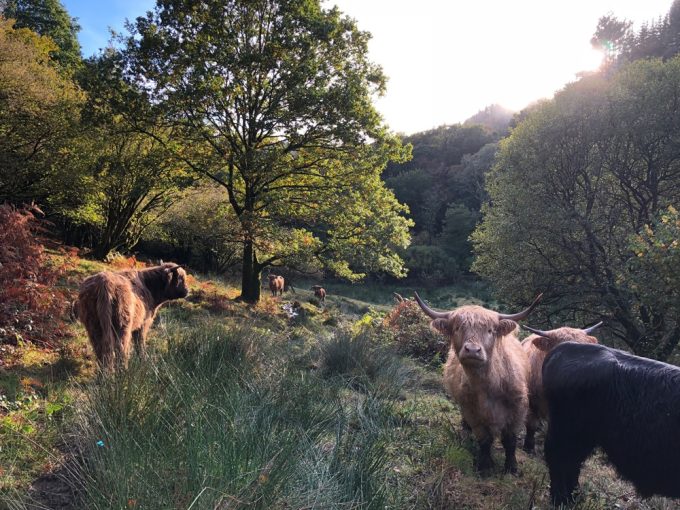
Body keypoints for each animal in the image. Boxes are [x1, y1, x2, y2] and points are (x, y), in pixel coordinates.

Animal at [414, 292, 542, 474]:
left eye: (490, 330)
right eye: (457, 328)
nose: (473, 350)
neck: (490, 385)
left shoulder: (518, 409)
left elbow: (510, 441)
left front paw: (511, 467)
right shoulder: (472, 411)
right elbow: (484, 439)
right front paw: (485, 465)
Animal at [542, 342, 680, 506]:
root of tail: (565, 347)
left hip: (582, 438)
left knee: (571, 465)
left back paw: (574, 499)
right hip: (567, 432)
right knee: (559, 461)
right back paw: (562, 500)